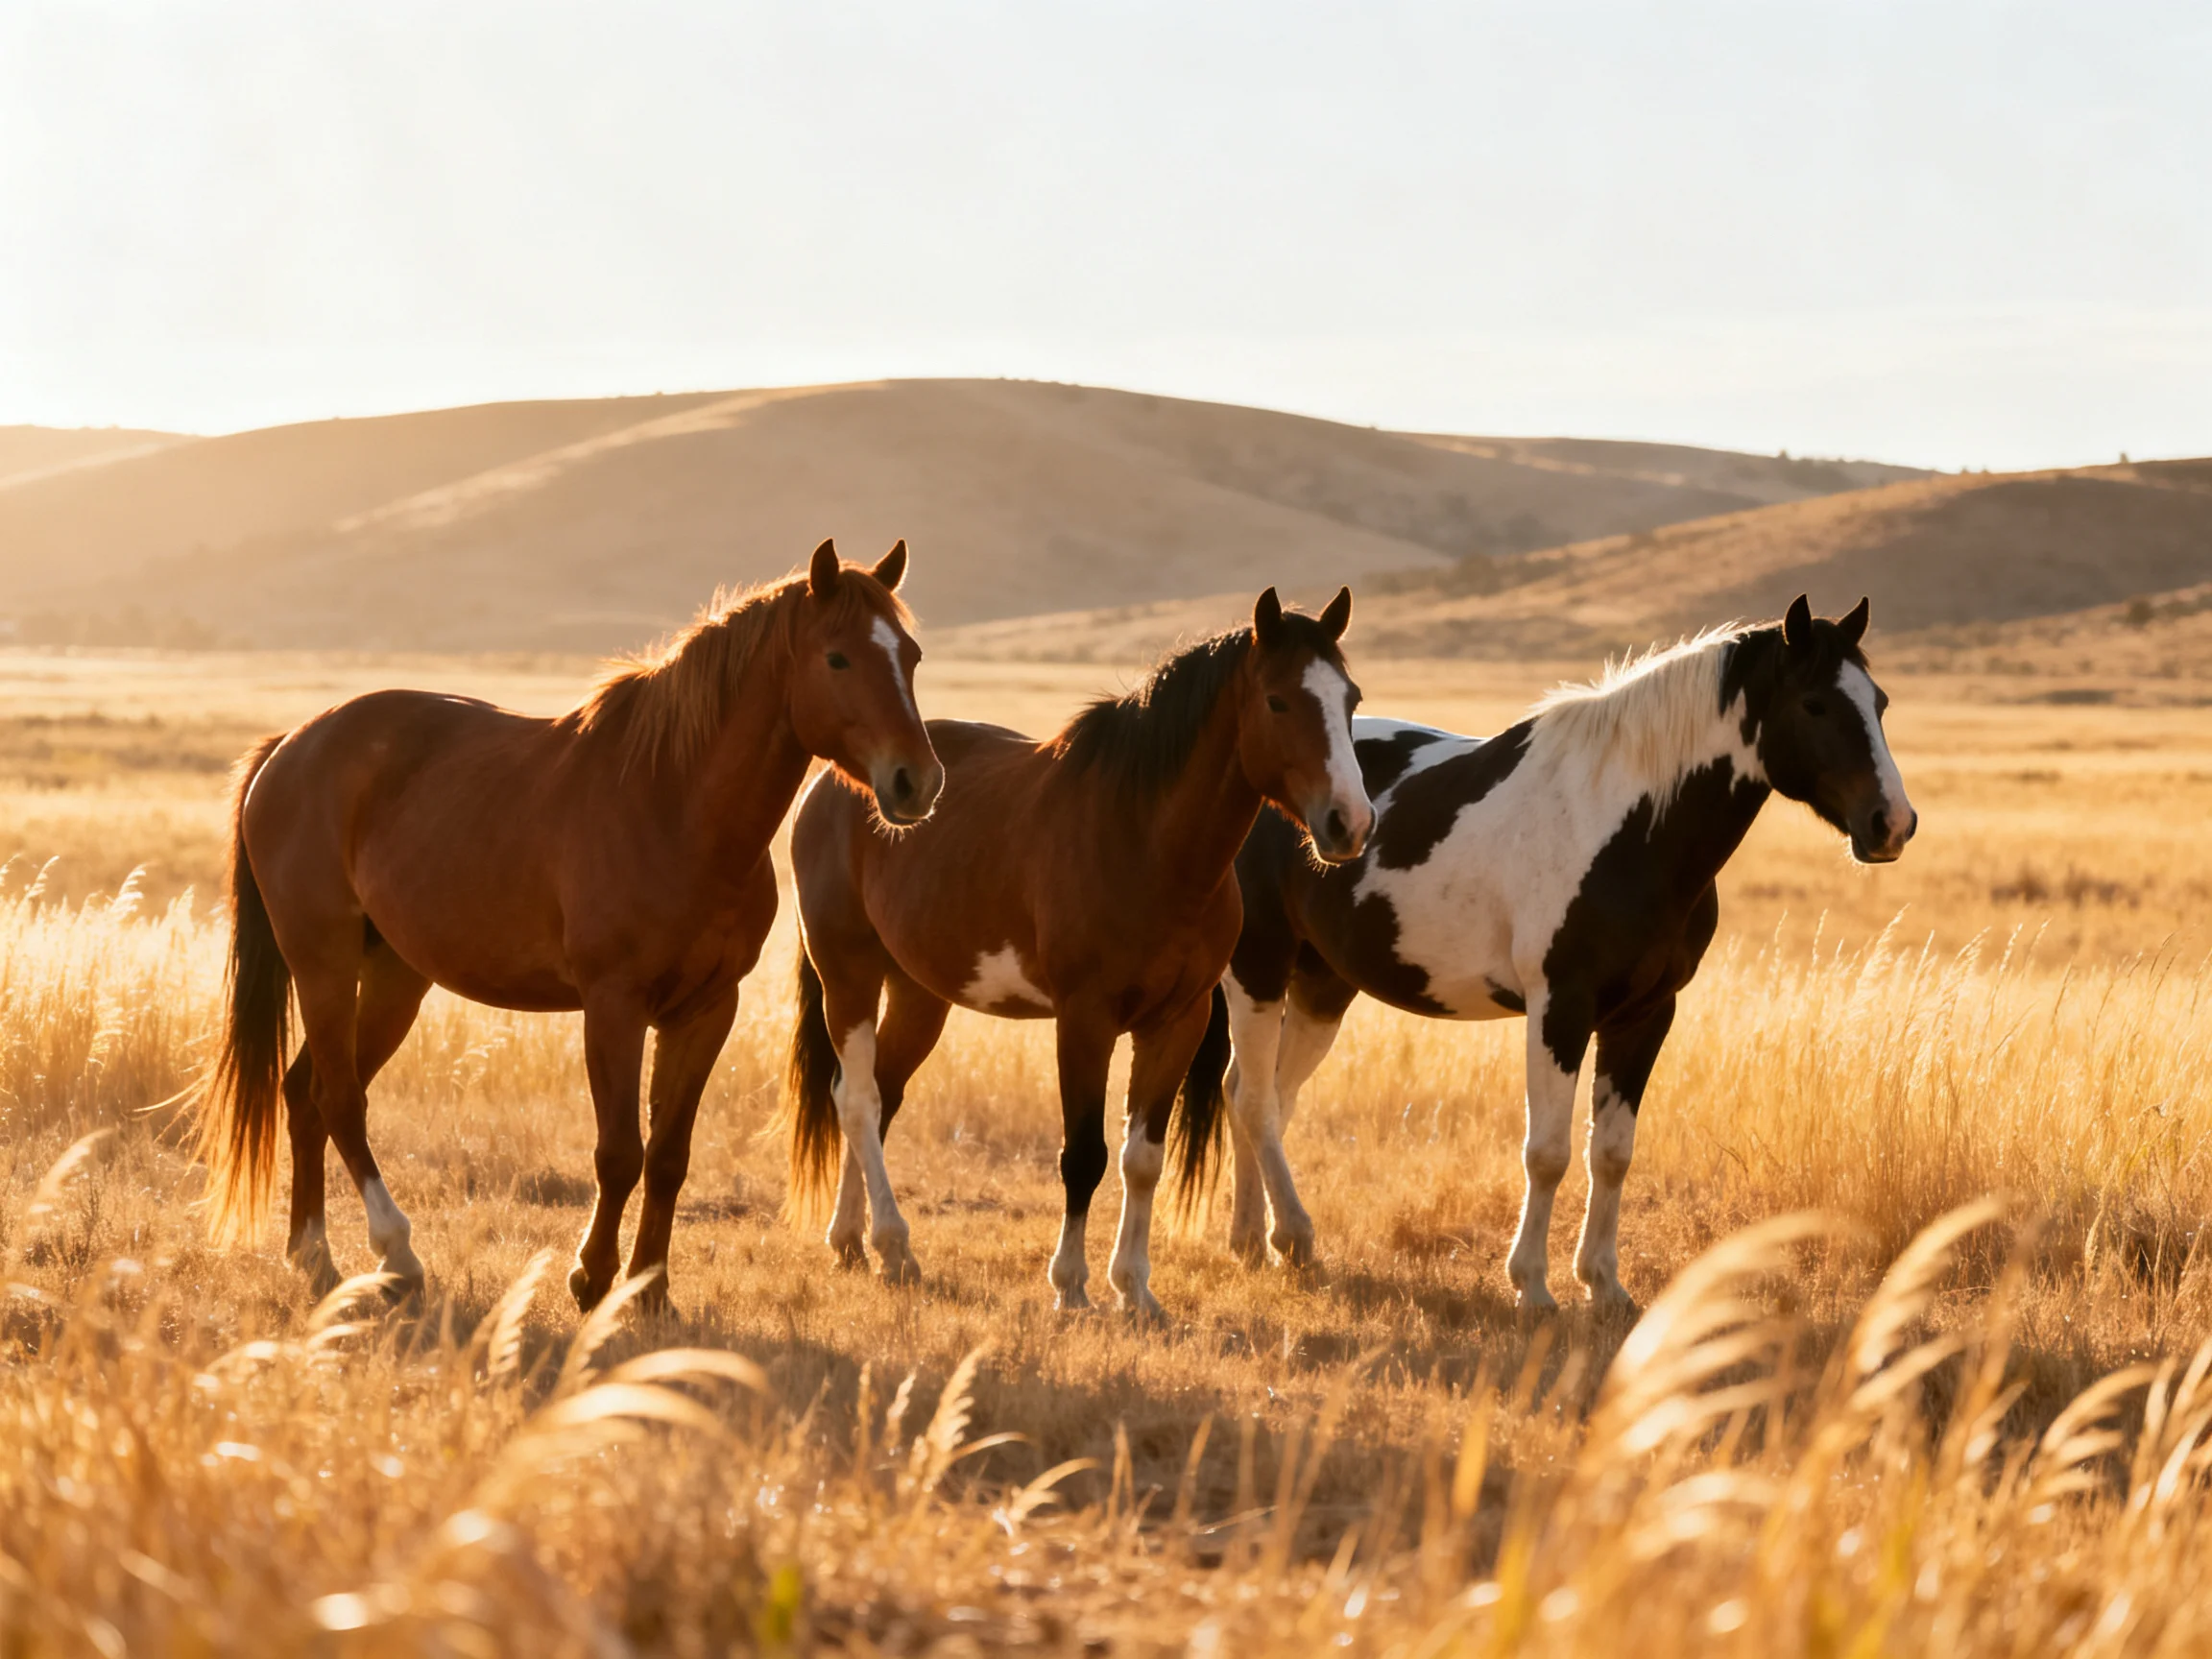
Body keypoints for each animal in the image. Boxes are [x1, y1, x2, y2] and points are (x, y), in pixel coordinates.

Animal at [196, 539, 941, 1312]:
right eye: (838, 658)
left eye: (911, 654)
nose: (916, 781)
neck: (674, 805)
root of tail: (291, 746)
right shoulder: (613, 1006)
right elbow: (619, 1153)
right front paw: (592, 1278)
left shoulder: (707, 1010)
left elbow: (668, 1156)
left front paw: (650, 1289)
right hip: (324, 962)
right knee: (338, 1098)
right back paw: (395, 1253)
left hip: (396, 978)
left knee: (306, 1094)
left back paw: (313, 1255)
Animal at [782, 587, 1375, 1318]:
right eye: (1278, 701)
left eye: (1350, 698)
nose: (1351, 823)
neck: (1146, 842)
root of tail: (835, 782)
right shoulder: (1084, 1021)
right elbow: (1083, 1154)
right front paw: (1070, 1286)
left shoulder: (1177, 1023)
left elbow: (1142, 1158)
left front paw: (1136, 1289)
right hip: (849, 975)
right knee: (859, 1100)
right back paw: (890, 1242)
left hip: (922, 993)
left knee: (875, 1094)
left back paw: (857, 1242)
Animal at [1186, 595, 1916, 1313]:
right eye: (1815, 704)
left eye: (1879, 701)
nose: (1892, 824)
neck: (1630, 827)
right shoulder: (1559, 1009)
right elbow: (1548, 1153)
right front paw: (1532, 1287)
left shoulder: (1647, 1015)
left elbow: (1612, 1152)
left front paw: (1604, 1284)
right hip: (1259, 969)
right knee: (1254, 1100)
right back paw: (1293, 1236)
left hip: (1322, 987)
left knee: (1262, 1095)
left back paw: (1254, 1240)